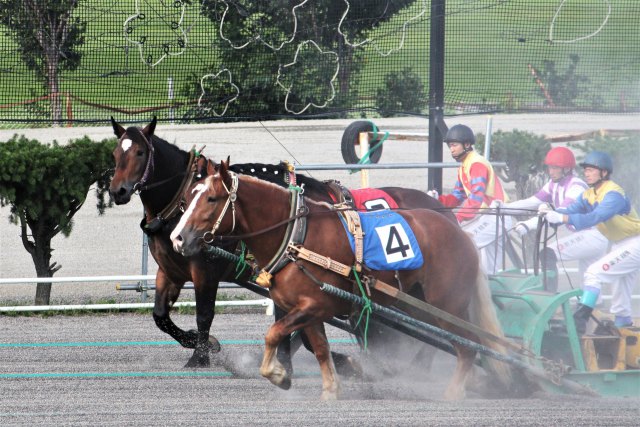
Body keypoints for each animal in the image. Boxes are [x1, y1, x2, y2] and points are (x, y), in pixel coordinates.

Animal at [107, 117, 456, 372]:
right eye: (115, 154)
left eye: (140, 153)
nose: (118, 190)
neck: (181, 202)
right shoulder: (170, 271)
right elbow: (160, 316)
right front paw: (202, 344)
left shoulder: (206, 271)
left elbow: (204, 314)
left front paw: (201, 355)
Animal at [170, 160, 510, 402]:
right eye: (188, 197)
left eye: (212, 198)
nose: (177, 237)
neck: (297, 235)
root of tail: (460, 233)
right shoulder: (308, 310)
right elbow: (318, 347)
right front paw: (330, 388)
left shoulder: (313, 305)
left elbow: (274, 334)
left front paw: (279, 375)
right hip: (417, 303)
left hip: (447, 304)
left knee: (467, 345)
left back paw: (452, 390)